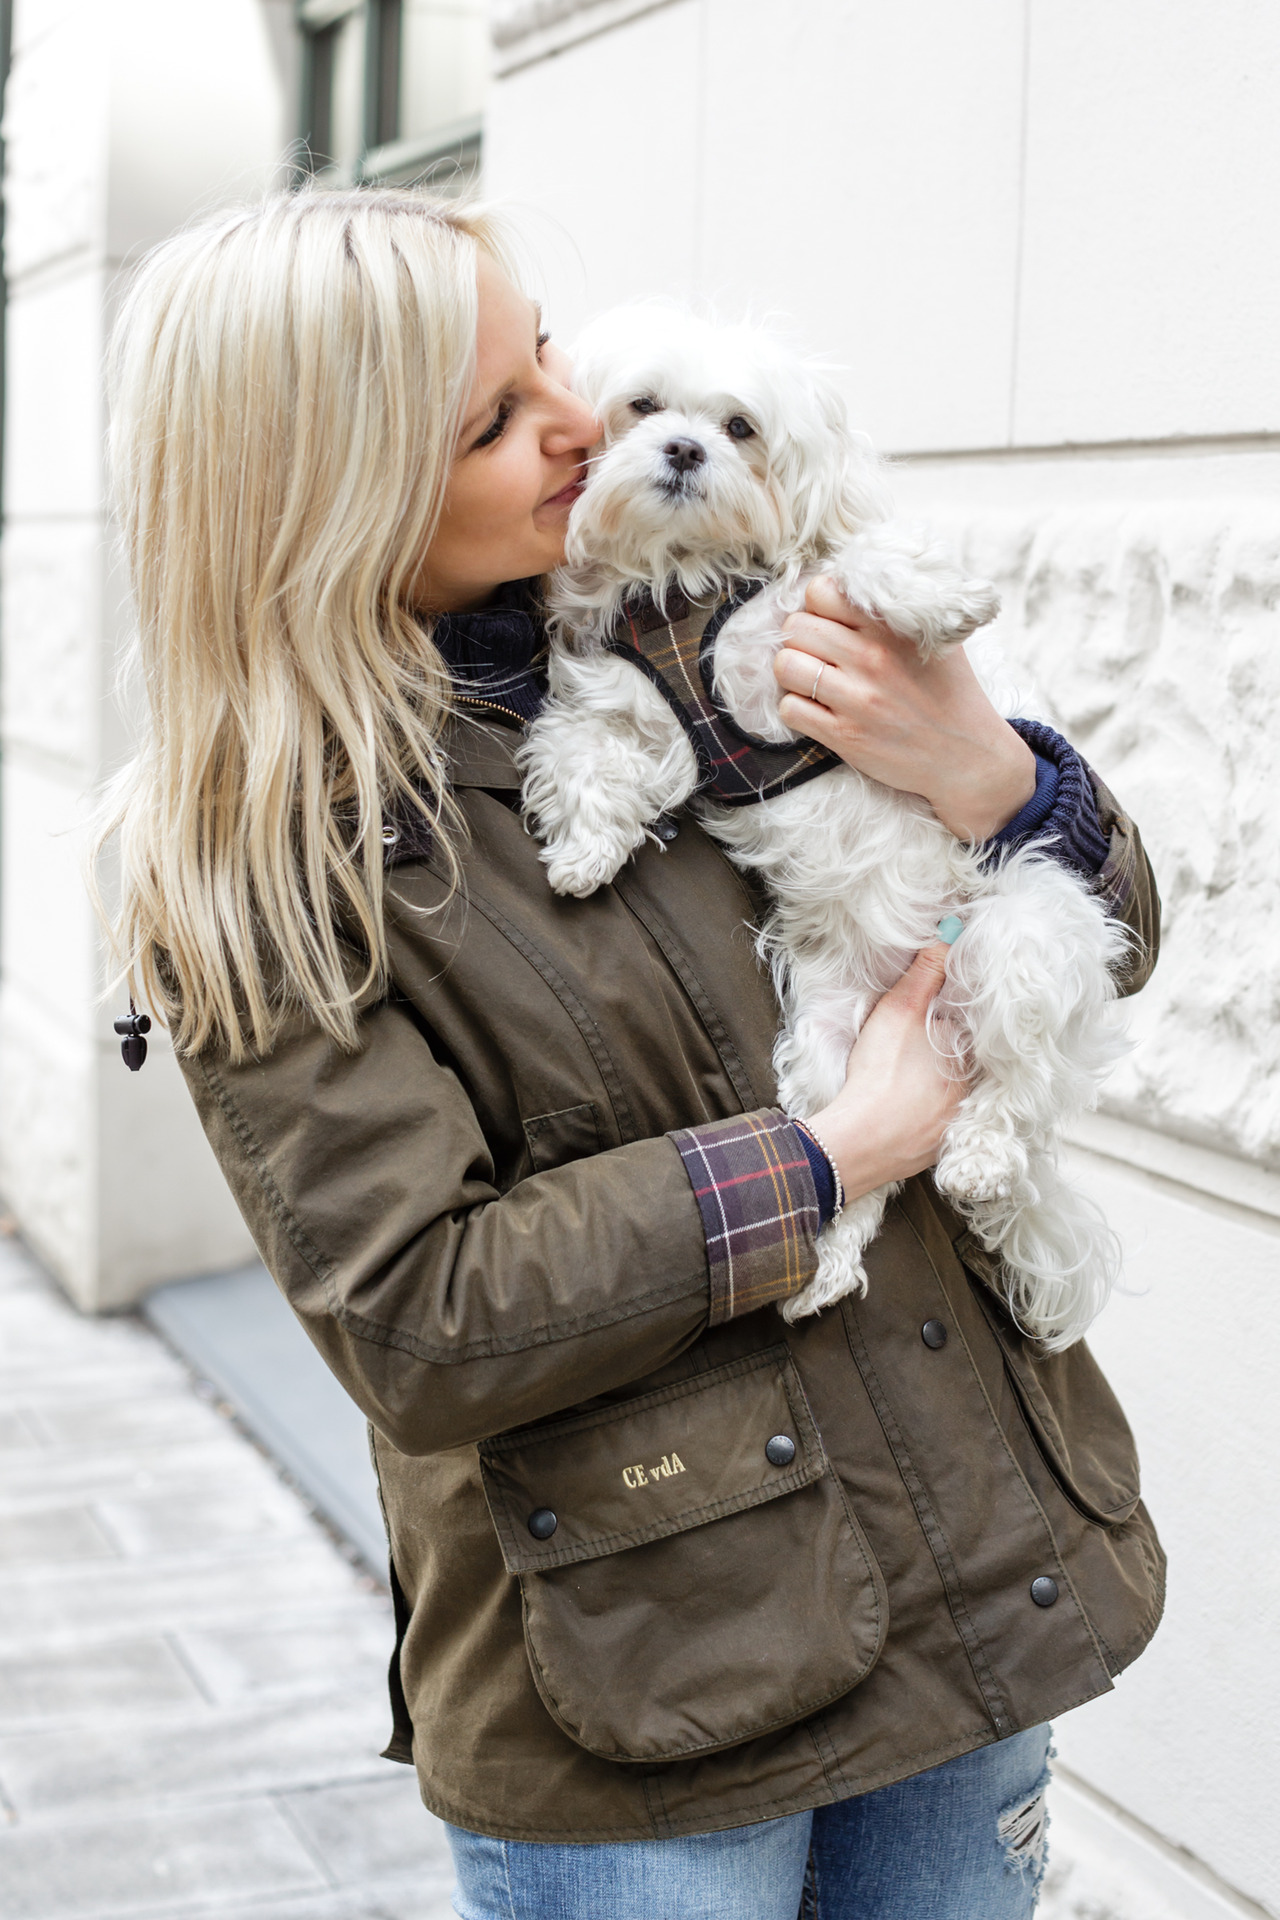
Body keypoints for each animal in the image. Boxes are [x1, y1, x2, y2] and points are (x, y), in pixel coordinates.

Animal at [514, 303, 1128, 1351]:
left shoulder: (805, 617)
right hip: (827, 1047)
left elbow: (857, 565)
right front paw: (585, 854)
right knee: (859, 1171)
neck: (688, 588)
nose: (684, 449)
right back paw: (828, 1270)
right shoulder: (633, 709)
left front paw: (945, 598)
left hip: (1018, 934)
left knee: (1017, 1084)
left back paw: (979, 1156)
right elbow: (586, 754)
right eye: (643, 406)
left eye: (740, 428)